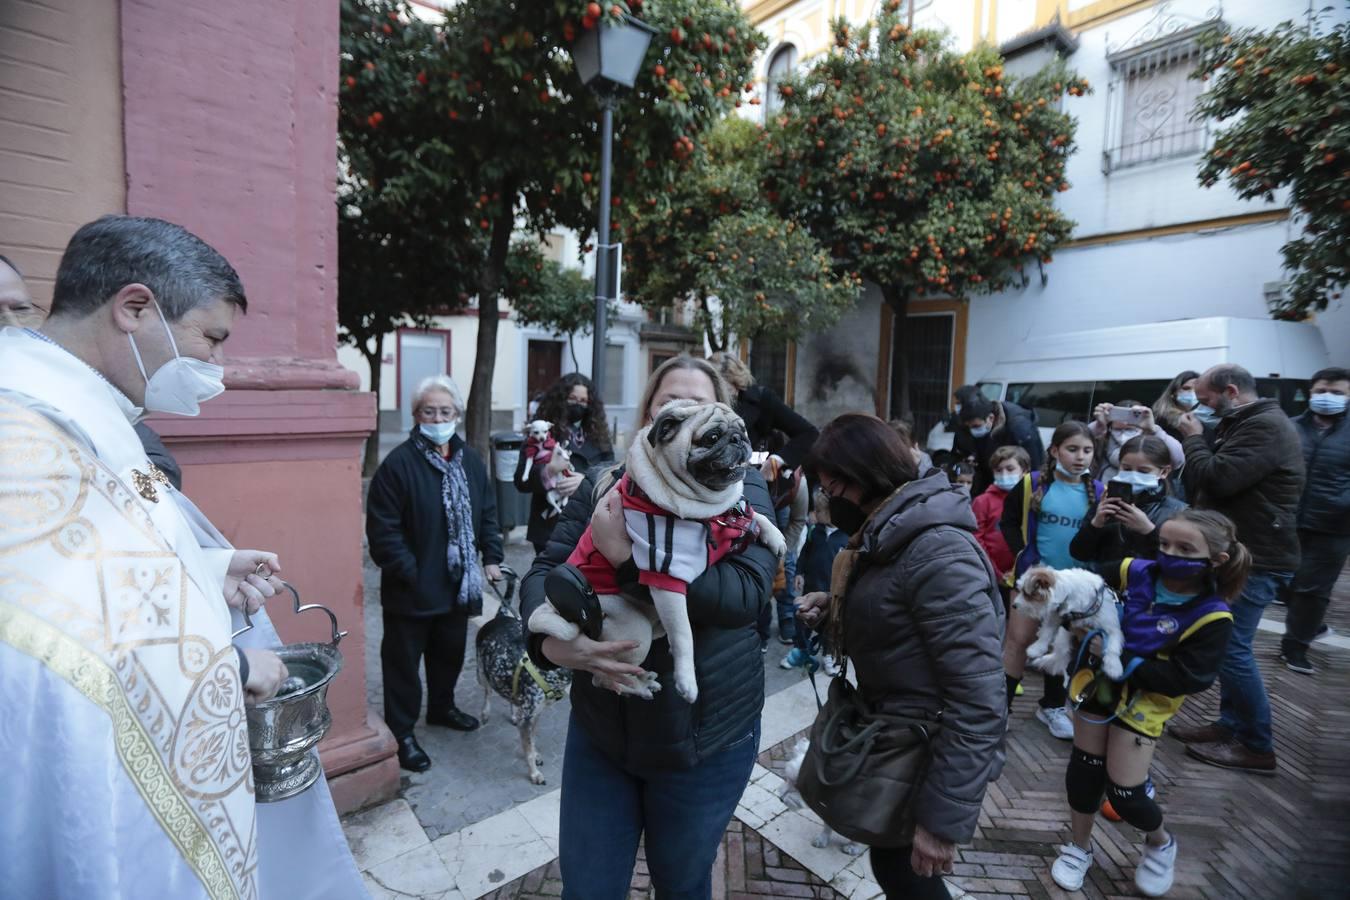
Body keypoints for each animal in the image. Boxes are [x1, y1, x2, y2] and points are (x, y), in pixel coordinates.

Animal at [523, 402, 788, 701]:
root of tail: (553, 607)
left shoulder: (732, 514)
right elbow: (684, 634)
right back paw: (639, 686)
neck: (707, 512)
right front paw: (687, 682)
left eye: (742, 430)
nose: (738, 439)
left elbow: (751, 514)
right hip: (632, 629)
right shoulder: (665, 575)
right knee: (604, 677)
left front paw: (774, 535)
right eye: (712, 437)